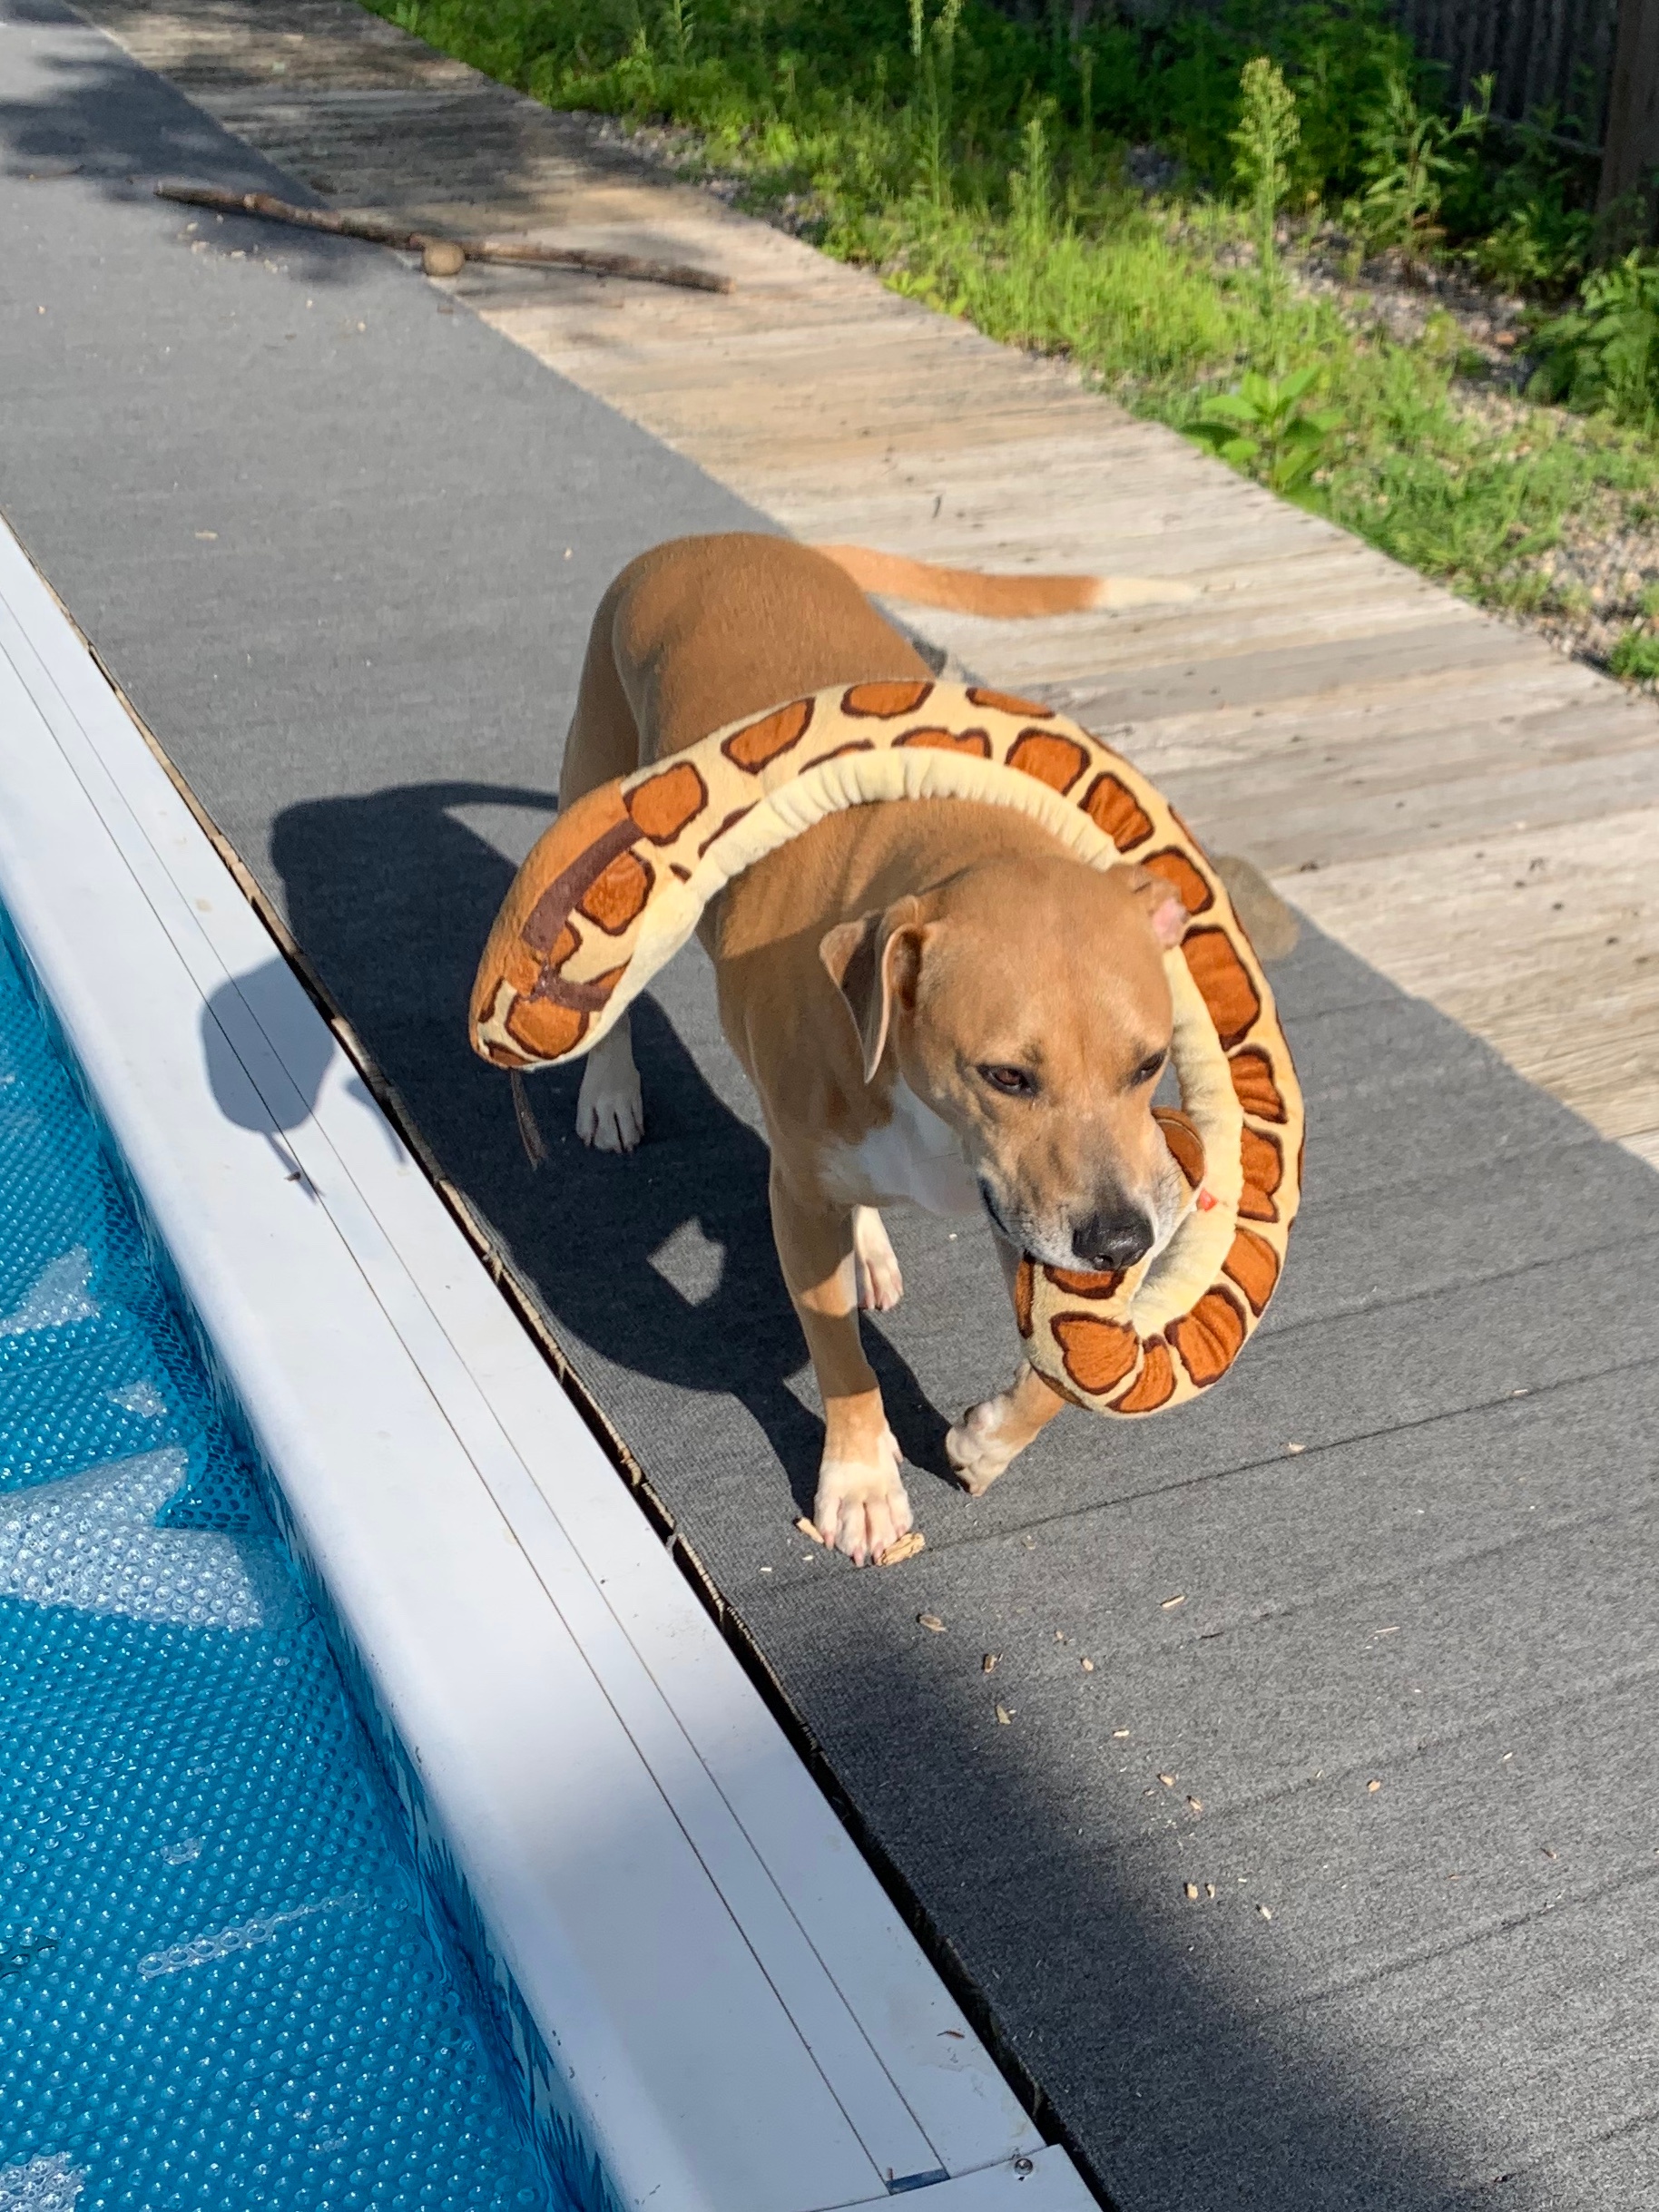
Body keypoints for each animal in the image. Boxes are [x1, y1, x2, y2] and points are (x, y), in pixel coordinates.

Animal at [555, 534, 1212, 1566]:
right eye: (1005, 1075)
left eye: (1148, 1067)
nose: (1119, 1241)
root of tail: (720, 541)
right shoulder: (801, 1197)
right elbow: (838, 1353)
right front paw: (861, 1486)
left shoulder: (1040, 1203)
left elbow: (1061, 1368)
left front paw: (985, 1442)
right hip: (604, 798)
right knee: (606, 986)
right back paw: (610, 1092)